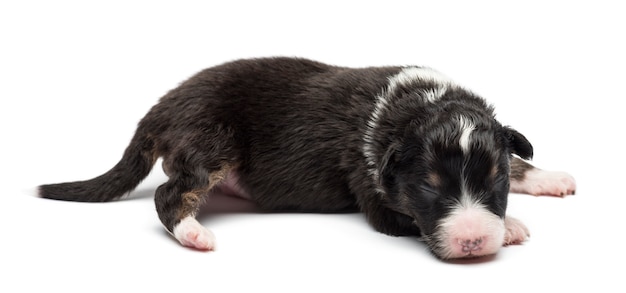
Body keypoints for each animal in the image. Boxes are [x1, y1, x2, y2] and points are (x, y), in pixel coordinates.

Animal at [39, 56, 576, 258]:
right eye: (428, 186)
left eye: (494, 180)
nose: (471, 242)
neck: (416, 104)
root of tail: (161, 106)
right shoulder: (375, 196)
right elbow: (407, 218)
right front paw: (510, 226)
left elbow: (519, 157)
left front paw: (550, 178)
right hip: (212, 140)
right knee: (172, 193)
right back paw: (194, 233)